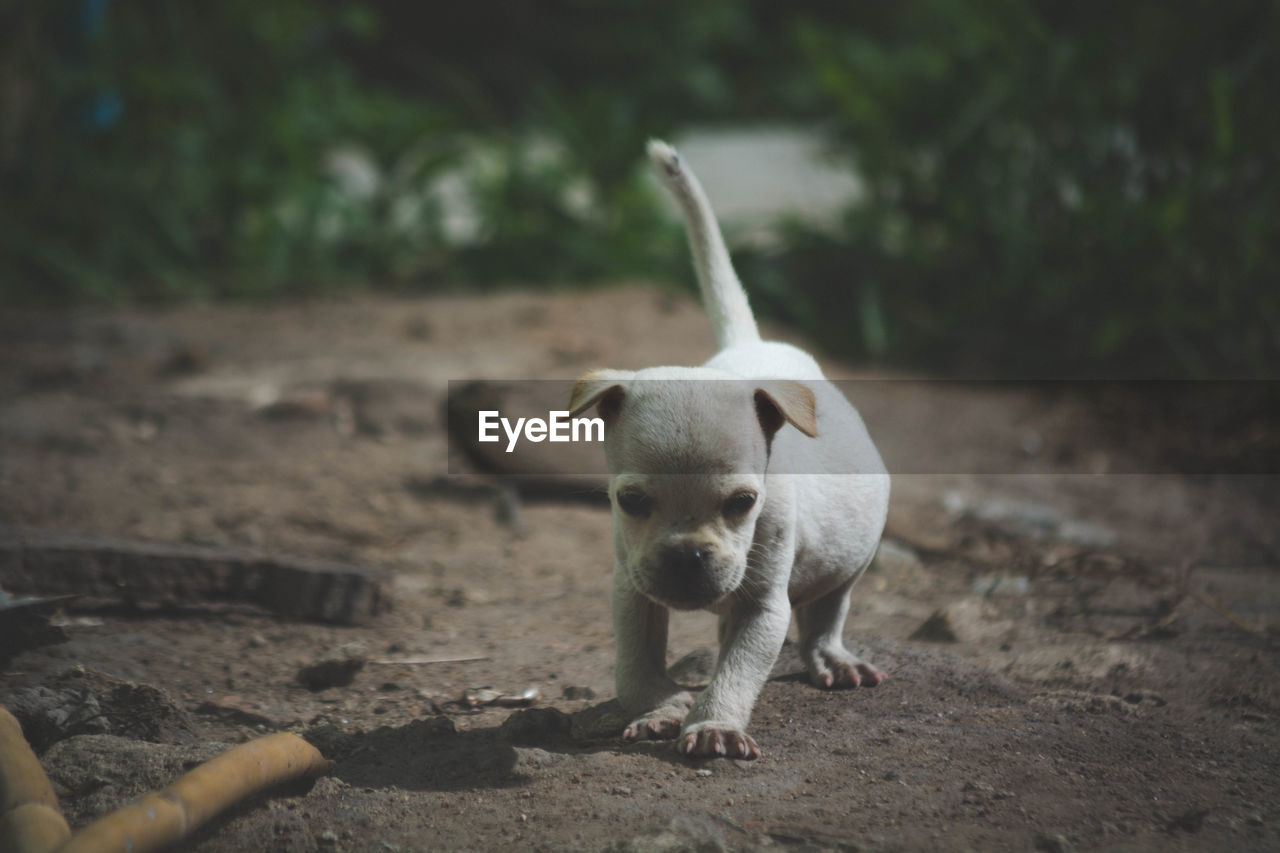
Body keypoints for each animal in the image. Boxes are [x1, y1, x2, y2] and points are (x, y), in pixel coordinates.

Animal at [570, 139, 890, 758]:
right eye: (631, 502)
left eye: (743, 503)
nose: (687, 556)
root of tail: (752, 344)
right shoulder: (631, 589)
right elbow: (633, 667)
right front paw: (660, 709)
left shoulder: (764, 605)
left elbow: (740, 669)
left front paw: (713, 724)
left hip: (850, 558)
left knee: (827, 609)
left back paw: (833, 657)